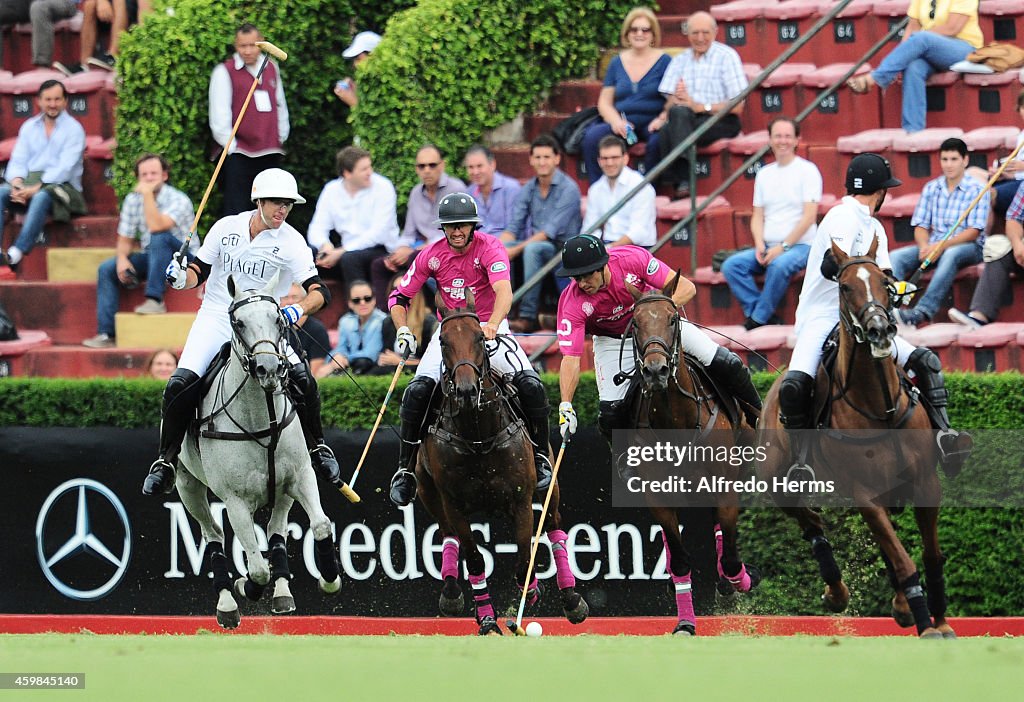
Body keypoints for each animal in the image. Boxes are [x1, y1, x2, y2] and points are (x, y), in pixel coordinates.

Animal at [174, 276, 337, 634]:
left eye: (278, 318)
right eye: (238, 322)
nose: (269, 368)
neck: (263, 418)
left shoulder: (301, 476)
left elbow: (320, 525)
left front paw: (329, 580)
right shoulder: (234, 500)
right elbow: (257, 568)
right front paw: (243, 585)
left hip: (281, 492)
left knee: (276, 532)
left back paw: (282, 592)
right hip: (187, 486)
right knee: (213, 535)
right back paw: (227, 603)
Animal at [415, 292, 589, 638]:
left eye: (481, 338)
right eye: (442, 341)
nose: (467, 390)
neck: (477, 434)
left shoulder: (520, 500)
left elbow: (523, 558)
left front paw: (530, 593)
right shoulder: (454, 504)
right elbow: (475, 559)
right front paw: (486, 619)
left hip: (549, 487)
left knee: (554, 527)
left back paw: (571, 600)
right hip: (428, 491)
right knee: (446, 531)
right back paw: (451, 593)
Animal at [622, 274, 761, 638]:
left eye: (672, 319)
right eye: (635, 322)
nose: (655, 371)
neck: (676, 417)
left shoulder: (724, 484)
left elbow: (730, 557)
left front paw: (740, 580)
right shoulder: (659, 496)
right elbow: (681, 556)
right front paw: (685, 622)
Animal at [757, 239, 954, 642]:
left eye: (886, 283)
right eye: (845, 286)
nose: (880, 330)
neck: (882, 408)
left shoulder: (926, 483)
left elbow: (928, 554)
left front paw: (939, 620)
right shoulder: (864, 493)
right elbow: (903, 558)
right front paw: (926, 624)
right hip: (777, 481)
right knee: (812, 525)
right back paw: (837, 591)